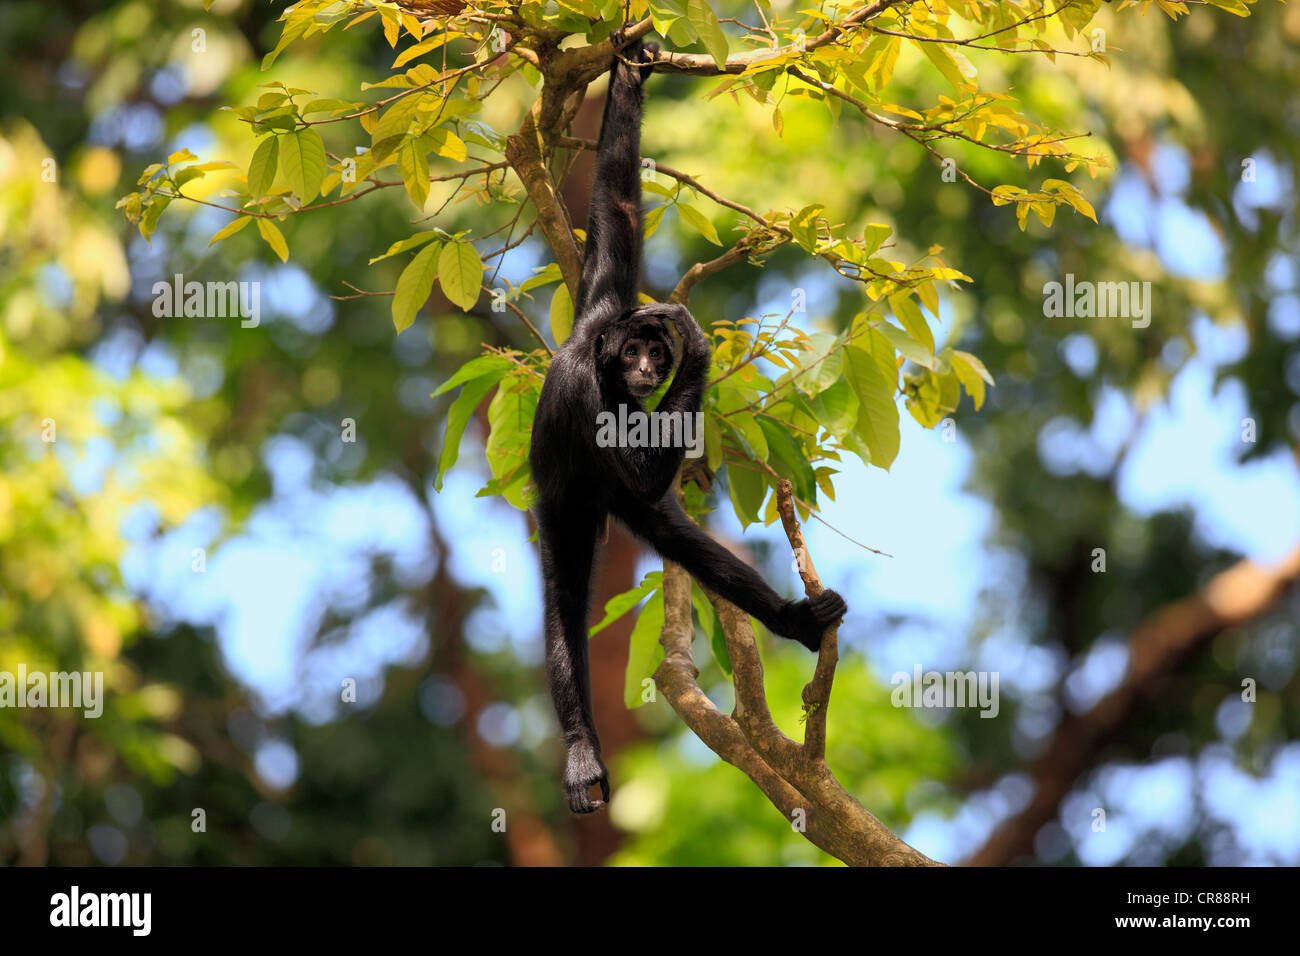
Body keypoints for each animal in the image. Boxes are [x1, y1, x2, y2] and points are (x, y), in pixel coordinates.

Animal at [527, 29, 852, 811]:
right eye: (636, 352)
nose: (650, 367)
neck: (601, 355)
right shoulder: (585, 383)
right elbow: (642, 478)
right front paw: (700, 346)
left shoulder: (603, 301)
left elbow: (615, 201)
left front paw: (631, 65)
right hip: (564, 506)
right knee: (563, 609)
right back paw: (581, 753)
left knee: (679, 538)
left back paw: (795, 621)